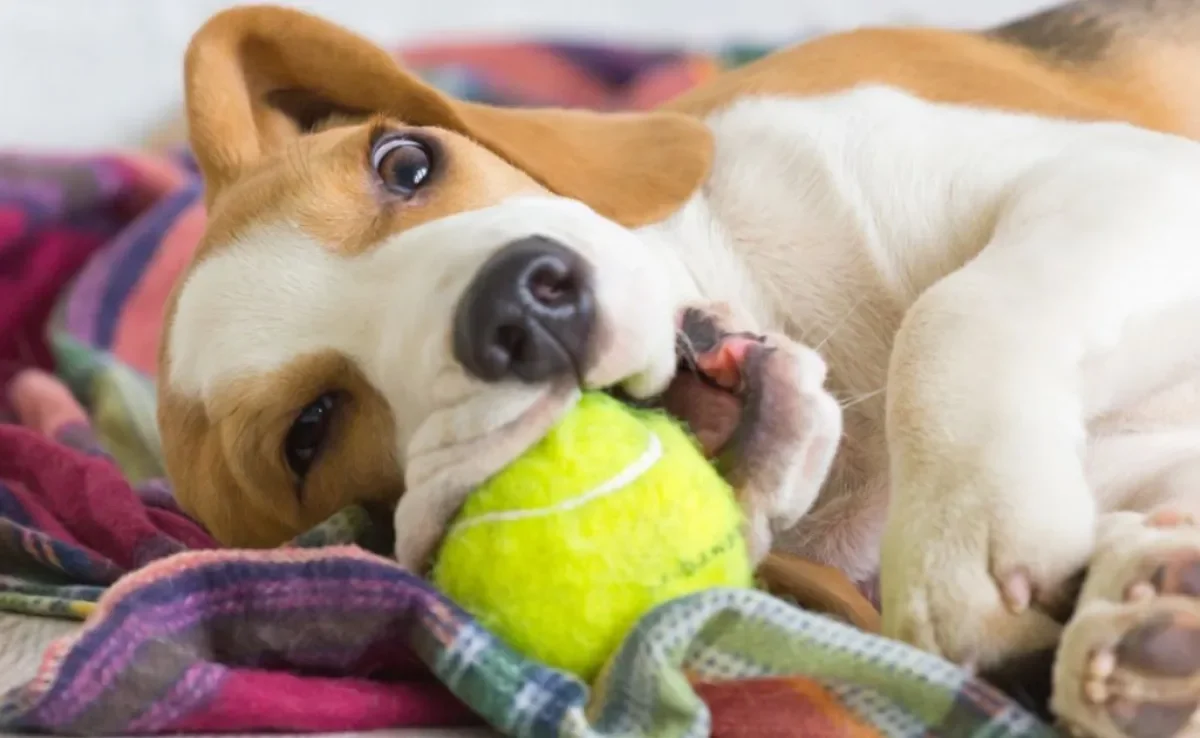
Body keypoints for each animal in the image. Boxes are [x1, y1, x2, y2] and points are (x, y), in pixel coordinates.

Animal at [164, 4, 1200, 734]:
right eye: (309, 433)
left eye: (405, 163)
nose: (520, 306)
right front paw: (1140, 617)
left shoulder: (1125, 174)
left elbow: (952, 310)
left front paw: (965, 536)